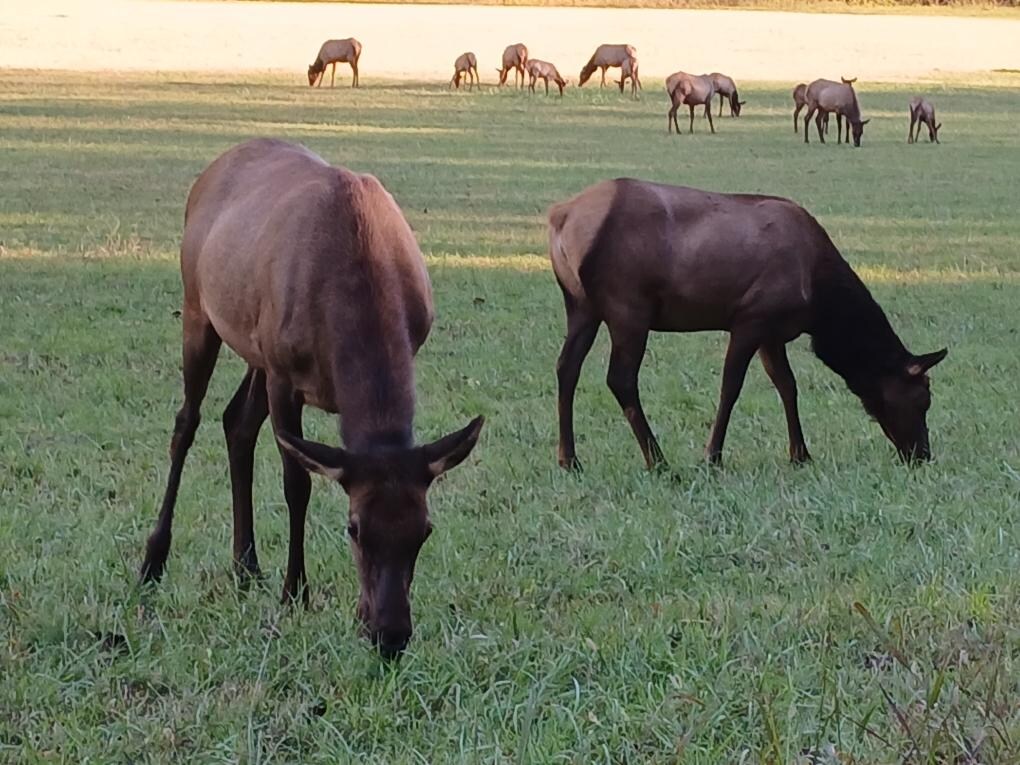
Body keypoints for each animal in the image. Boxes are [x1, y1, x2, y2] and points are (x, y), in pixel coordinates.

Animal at [140, 139, 484, 660]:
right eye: (354, 528)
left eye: (424, 530)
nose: (390, 635)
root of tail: (209, 171)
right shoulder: (285, 374)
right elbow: (296, 483)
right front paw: (295, 590)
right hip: (199, 306)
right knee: (187, 422)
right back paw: (153, 561)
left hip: (255, 346)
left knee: (236, 421)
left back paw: (245, 566)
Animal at [549, 178, 947, 471]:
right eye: (922, 399)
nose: (922, 455)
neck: (820, 304)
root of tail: (560, 218)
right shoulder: (751, 317)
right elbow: (731, 387)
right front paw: (712, 457)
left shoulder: (774, 333)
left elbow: (787, 386)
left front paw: (800, 454)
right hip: (628, 305)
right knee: (620, 378)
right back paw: (658, 461)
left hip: (580, 305)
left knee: (566, 367)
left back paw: (569, 459)